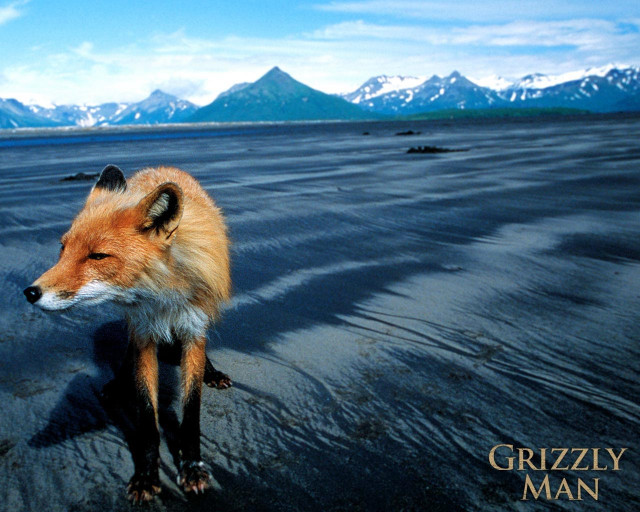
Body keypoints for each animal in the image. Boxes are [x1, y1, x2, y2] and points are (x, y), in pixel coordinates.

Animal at [23, 164, 232, 503]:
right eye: (63, 248)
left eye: (97, 256)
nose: (30, 292)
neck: (163, 295)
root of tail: (162, 168)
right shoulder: (145, 333)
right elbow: (147, 416)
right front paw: (147, 475)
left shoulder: (193, 328)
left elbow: (191, 411)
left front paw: (192, 468)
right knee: (127, 356)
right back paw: (119, 382)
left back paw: (211, 372)